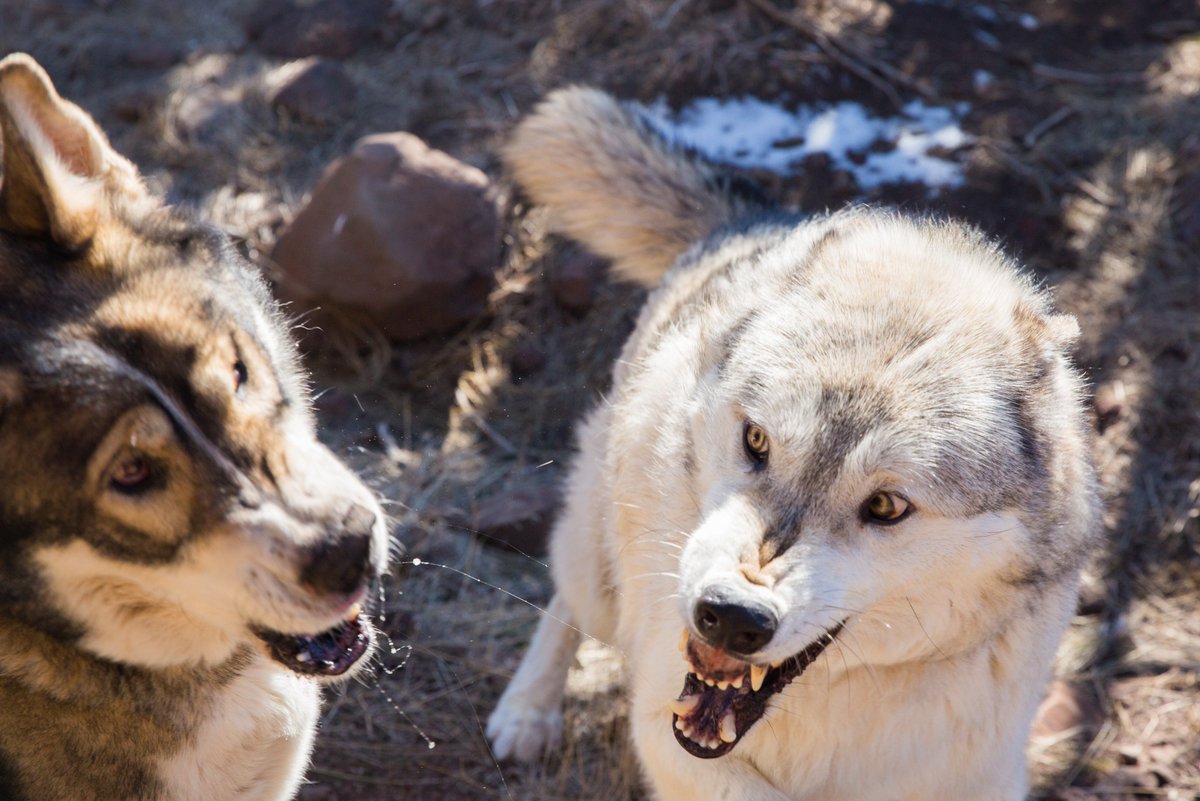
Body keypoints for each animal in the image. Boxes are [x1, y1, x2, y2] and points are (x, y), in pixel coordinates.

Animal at [486, 87, 1099, 801]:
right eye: (757, 440)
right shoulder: (667, 731)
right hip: (603, 564)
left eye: (886, 506)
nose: (730, 617)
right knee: (566, 593)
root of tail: (759, 221)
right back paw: (526, 713)